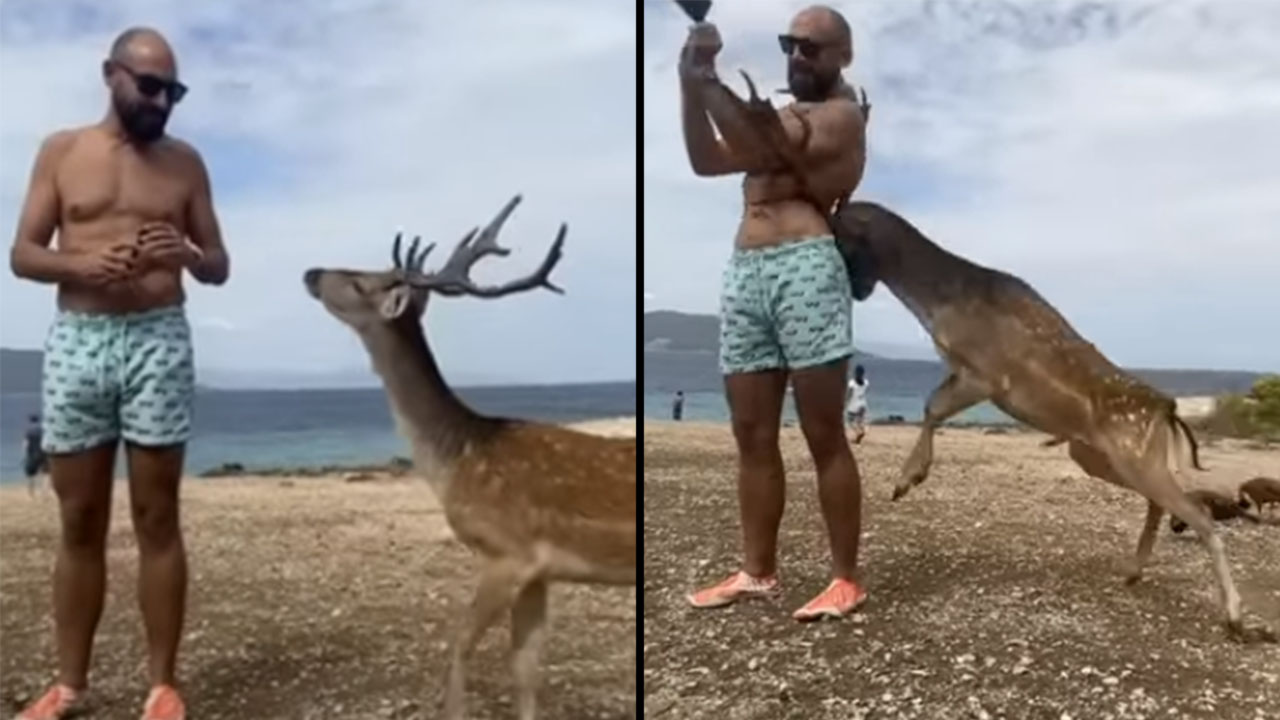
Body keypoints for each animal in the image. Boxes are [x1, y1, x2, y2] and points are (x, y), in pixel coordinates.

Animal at [302, 195, 636, 720]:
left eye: (361, 282)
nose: (312, 272)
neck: (454, 459)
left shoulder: (508, 553)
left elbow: (459, 647)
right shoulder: (540, 571)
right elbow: (525, 670)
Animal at [691, 69, 1274, 642]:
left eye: (839, 237)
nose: (853, 289)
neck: (938, 306)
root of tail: (1169, 412)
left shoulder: (987, 372)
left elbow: (931, 406)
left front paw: (906, 480)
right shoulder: (962, 368)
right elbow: (930, 405)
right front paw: (907, 480)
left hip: (1129, 451)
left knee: (1198, 513)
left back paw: (1235, 617)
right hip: (1096, 452)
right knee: (1164, 501)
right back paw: (1133, 571)